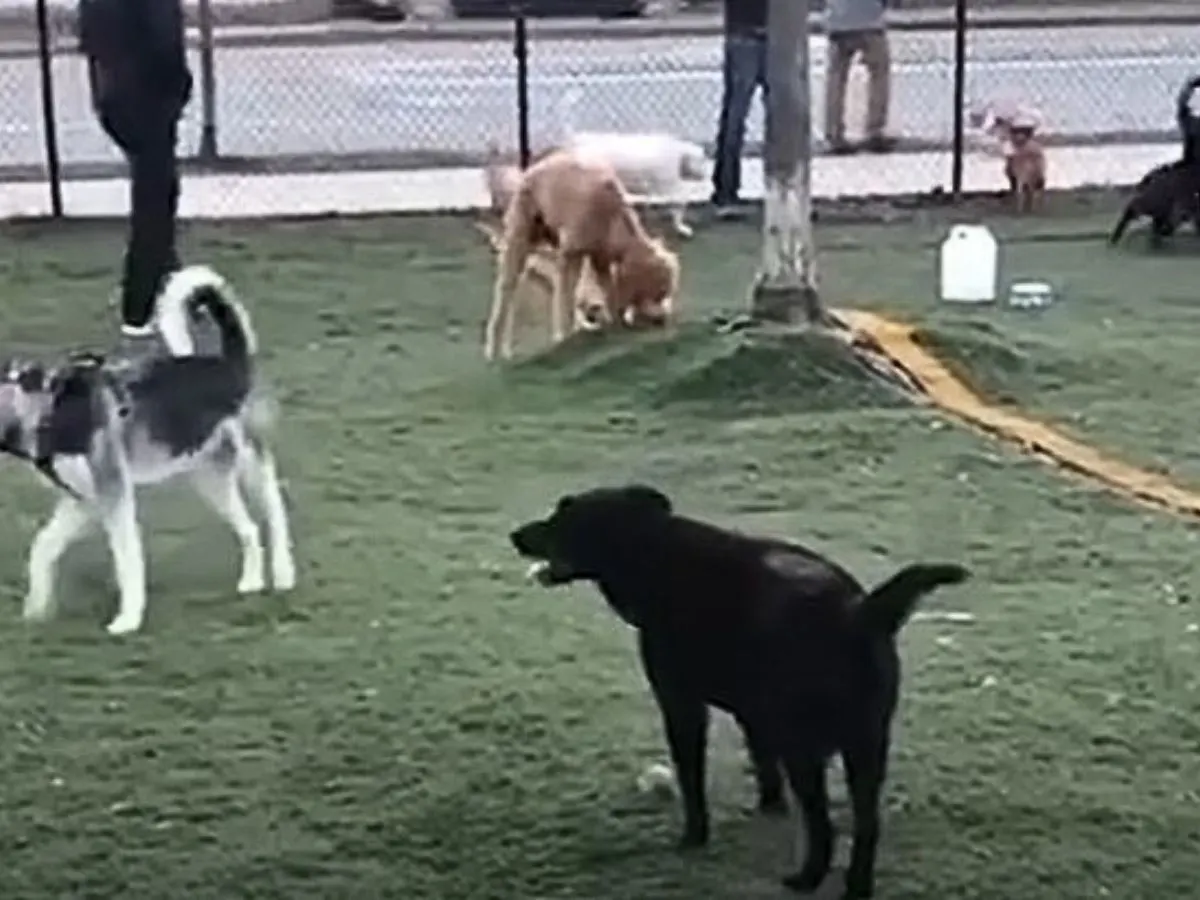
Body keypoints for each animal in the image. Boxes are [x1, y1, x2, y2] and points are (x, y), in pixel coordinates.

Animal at [0, 266, 295, 633]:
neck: (50, 409)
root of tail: (231, 360)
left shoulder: (114, 495)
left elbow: (127, 560)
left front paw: (127, 620)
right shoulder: (83, 500)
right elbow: (43, 546)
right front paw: (37, 608)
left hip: (251, 461)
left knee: (275, 513)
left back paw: (283, 574)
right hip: (210, 478)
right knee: (250, 528)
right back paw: (252, 581)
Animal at [482, 148, 681, 362]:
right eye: (658, 293)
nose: (662, 319)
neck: (613, 217)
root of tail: (532, 168)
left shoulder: (600, 257)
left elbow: (607, 286)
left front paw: (612, 321)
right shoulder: (571, 253)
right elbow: (566, 294)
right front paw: (565, 336)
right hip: (523, 227)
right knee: (509, 287)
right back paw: (495, 347)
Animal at [511, 487, 969, 900]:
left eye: (565, 517)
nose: (516, 535)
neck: (659, 554)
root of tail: (859, 613)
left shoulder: (681, 705)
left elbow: (691, 779)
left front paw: (694, 836)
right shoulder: (755, 714)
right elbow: (763, 762)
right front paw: (769, 806)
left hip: (805, 749)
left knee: (823, 826)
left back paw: (806, 879)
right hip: (866, 746)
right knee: (867, 825)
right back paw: (856, 888)